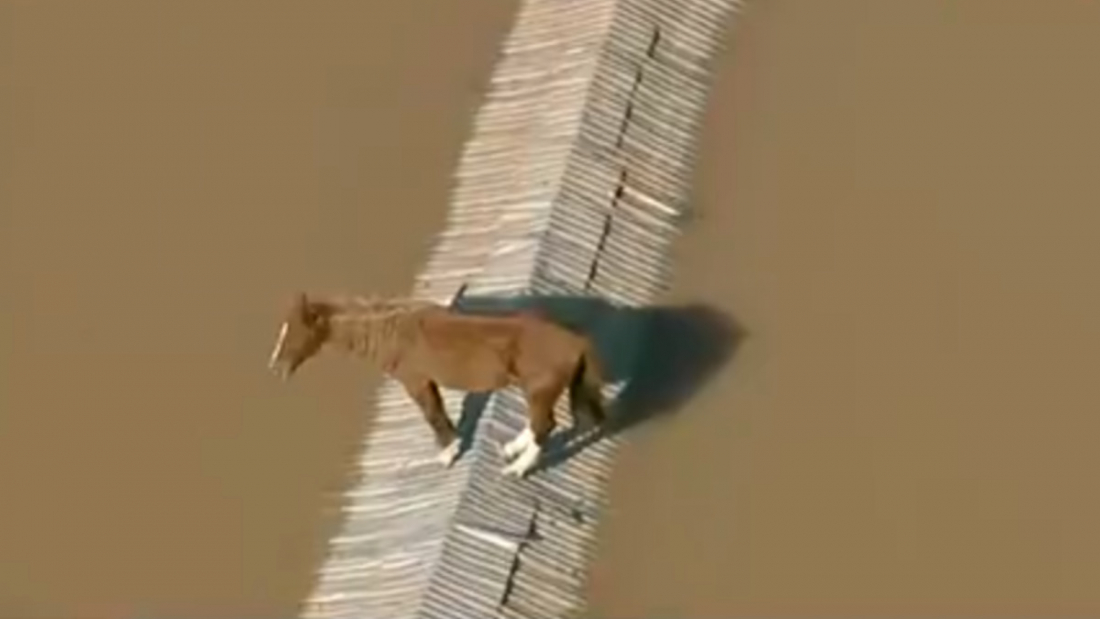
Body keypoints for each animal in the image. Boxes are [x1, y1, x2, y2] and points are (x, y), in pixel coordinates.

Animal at [267, 289, 607, 478]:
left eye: (295, 333)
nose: (275, 368)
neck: (393, 332)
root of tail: (578, 341)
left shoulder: (416, 380)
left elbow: (433, 414)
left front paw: (449, 452)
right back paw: (512, 449)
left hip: (539, 390)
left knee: (544, 426)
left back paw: (517, 468)